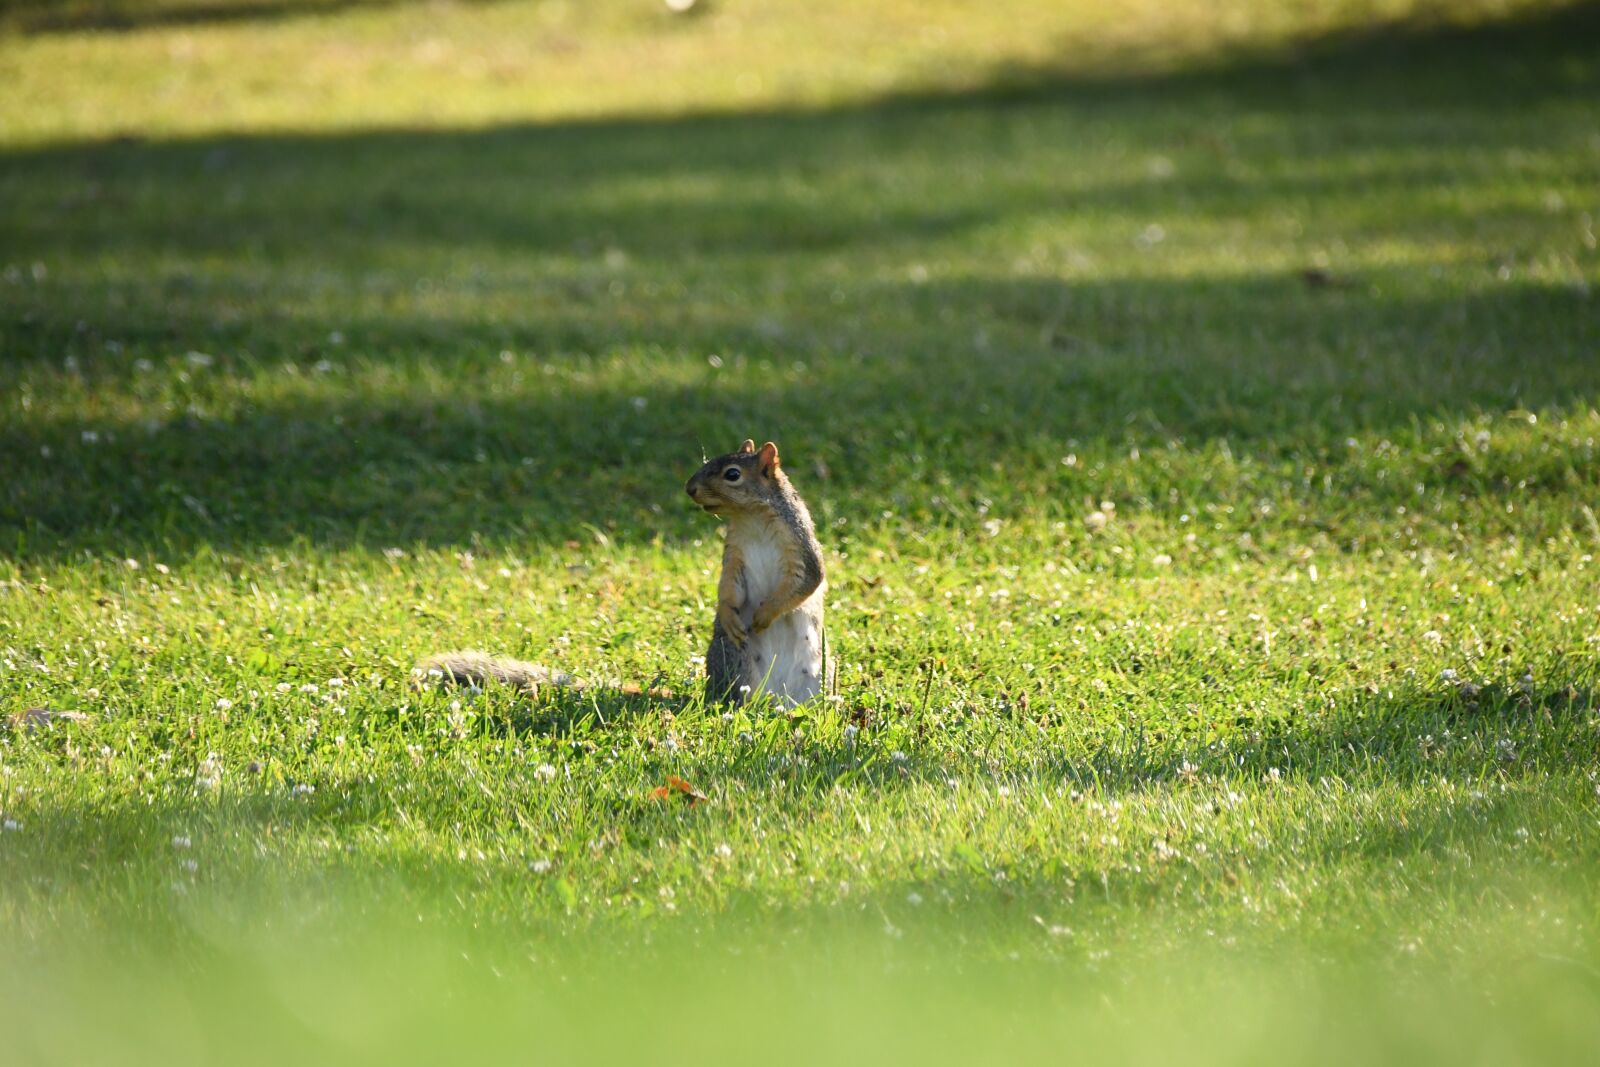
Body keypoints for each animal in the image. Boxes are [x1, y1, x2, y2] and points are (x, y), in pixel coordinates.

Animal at [419, 438, 832, 708]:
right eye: (707, 462)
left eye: (732, 474)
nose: (690, 488)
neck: (752, 519)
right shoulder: (735, 555)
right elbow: (728, 589)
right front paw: (730, 615)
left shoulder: (800, 546)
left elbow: (806, 582)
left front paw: (763, 614)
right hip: (735, 664)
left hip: (816, 673)